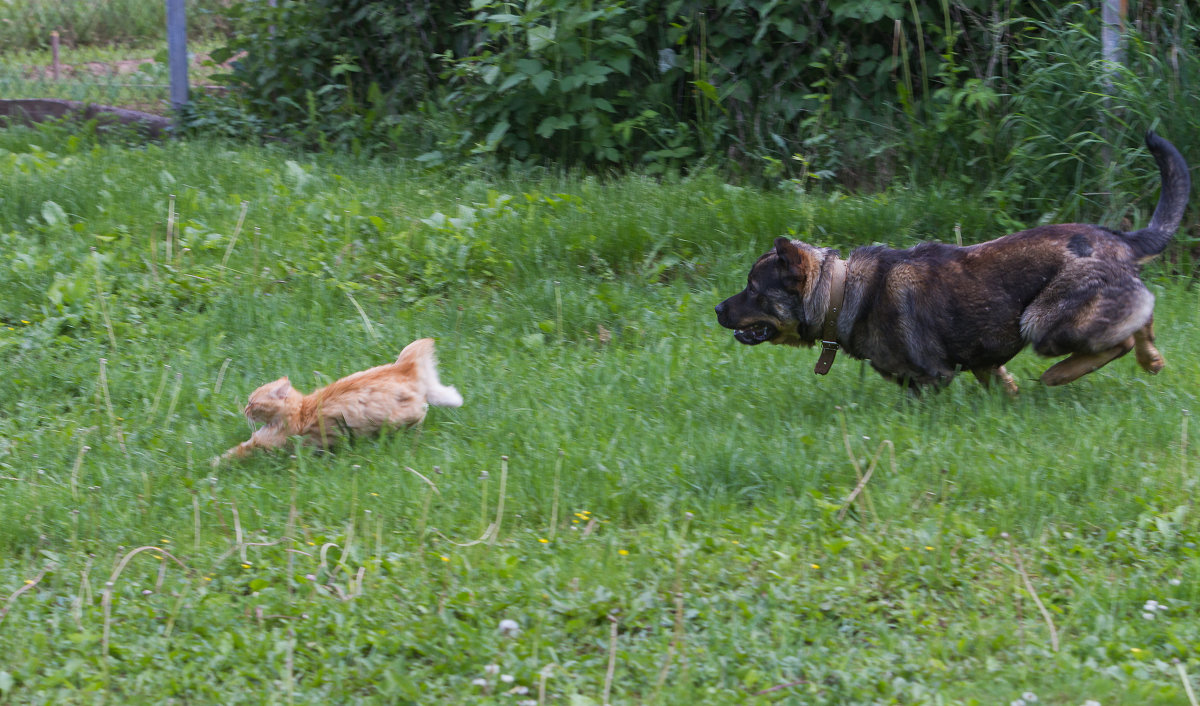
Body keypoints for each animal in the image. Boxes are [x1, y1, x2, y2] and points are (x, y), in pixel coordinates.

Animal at [216, 338, 458, 463]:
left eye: (252, 402)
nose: (245, 410)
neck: (301, 411)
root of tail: (402, 367)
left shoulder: (264, 444)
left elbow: (233, 453)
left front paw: (214, 465)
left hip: (399, 417)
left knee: (423, 411)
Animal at [710, 130, 1190, 391]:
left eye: (753, 290)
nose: (715, 309)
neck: (842, 292)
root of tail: (1119, 238)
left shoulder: (930, 379)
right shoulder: (984, 364)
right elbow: (1003, 386)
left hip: (1041, 321)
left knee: (1120, 337)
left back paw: (1060, 374)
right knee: (1141, 316)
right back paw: (1152, 359)